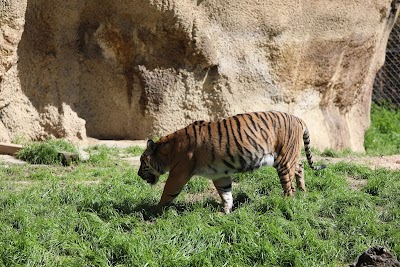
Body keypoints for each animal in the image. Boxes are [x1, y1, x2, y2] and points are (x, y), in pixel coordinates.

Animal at [138, 112, 324, 215]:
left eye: (142, 162)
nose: (138, 175)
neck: (168, 152)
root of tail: (298, 118)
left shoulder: (179, 173)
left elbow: (167, 192)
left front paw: (153, 210)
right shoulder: (219, 174)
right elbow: (226, 194)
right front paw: (225, 212)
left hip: (284, 160)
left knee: (289, 187)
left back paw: (287, 203)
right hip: (289, 158)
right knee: (300, 167)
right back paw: (303, 192)